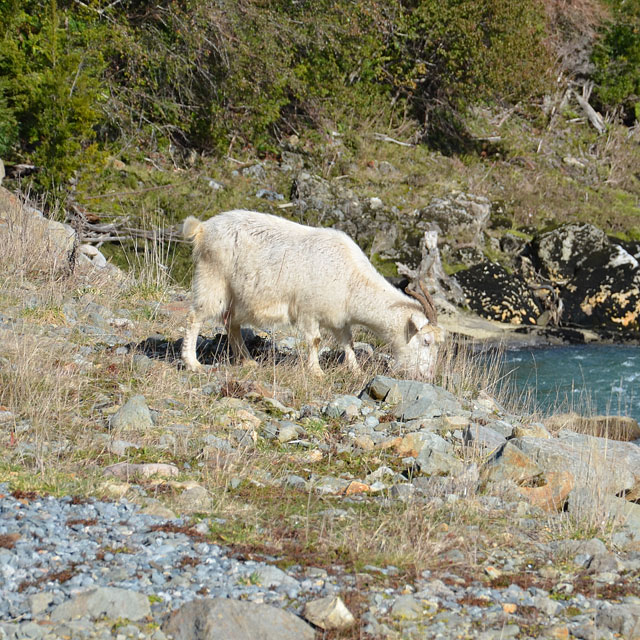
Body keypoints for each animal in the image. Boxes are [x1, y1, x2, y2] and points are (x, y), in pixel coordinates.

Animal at [178, 210, 442, 378]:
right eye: (426, 341)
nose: (428, 375)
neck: (351, 279)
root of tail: (202, 228)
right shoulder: (308, 310)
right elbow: (314, 340)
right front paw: (316, 371)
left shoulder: (338, 317)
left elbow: (348, 342)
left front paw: (355, 370)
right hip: (212, 279)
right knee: (195, 317)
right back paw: (192, 363)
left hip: (239, 297)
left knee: (230, 322)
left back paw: (247, 361)